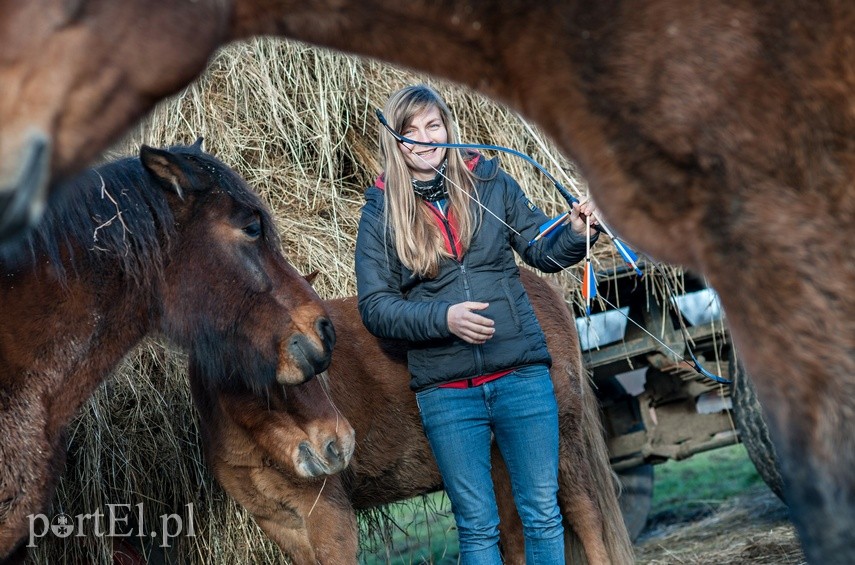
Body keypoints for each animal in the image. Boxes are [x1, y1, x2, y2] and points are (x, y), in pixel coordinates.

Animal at [192, 268, 636, 564]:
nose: (337, 445)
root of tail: (538, 286)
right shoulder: (283, 526)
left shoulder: (327, 517)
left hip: (558, 442)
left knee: (585, 518)